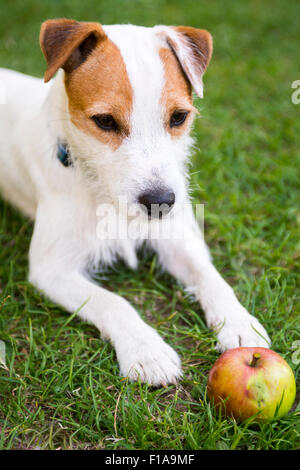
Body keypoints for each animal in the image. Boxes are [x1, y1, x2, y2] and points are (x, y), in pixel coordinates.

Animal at [0, 18, 270, 386]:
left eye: (178, 117)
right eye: (104, 121)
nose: (160, 202)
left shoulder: (177, 239)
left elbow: (211, 277)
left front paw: (239, 321)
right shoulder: (51, 269)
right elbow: (113, 302)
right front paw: (146, 350)